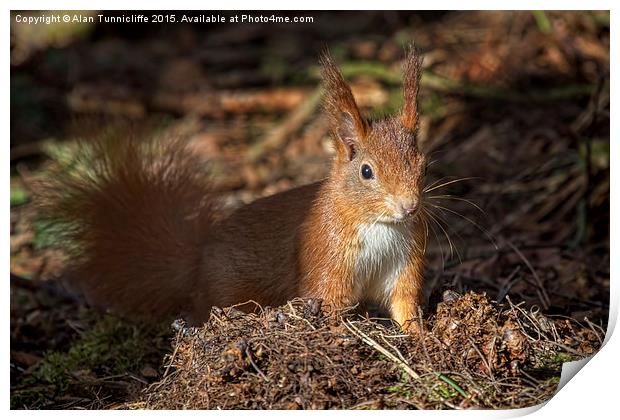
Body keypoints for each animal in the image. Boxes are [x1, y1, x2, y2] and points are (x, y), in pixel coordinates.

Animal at [36, 46, 428, 334]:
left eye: (422, 165)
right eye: (366, 172)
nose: (410, 207)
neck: (379, 226)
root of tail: (196, 262)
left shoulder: (403, 263)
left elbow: (404, 302)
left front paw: (418, 336)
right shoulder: (326, 260)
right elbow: (327, 301)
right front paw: (341, 334)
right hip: (227, 290)